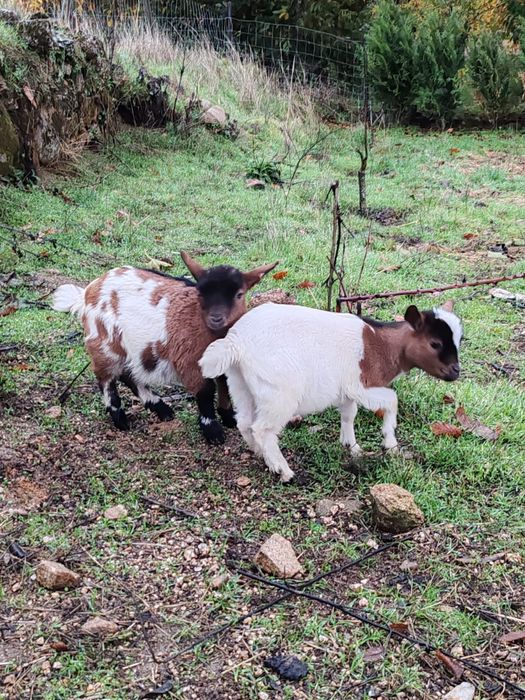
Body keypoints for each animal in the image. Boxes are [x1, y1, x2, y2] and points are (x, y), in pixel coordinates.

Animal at [52, 252, 278, 443]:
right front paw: (212, 431)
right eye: (200, 293)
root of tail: (87, 292)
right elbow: (206, 391)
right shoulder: (189, 360)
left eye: (239, 294)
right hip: (104, 343)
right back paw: (120, 418)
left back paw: (160, 408)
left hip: (131, 348)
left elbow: (224, 385)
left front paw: (229, 418)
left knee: (127, 374)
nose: (216, 318)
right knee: (106, 378)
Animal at [199, 301, 462, 481]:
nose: (455, 372)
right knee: (262, 428)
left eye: (459, 340)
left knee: (244, 422)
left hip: (240, 383)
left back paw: (259, 453)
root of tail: (235, 342)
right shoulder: (360, 384)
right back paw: (283, 470)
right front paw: (390, 444)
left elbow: (348, 414)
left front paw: (352, 447)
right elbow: (392, 399)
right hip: (278, 392)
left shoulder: (346, 390)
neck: (381, 345)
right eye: (435, 344)